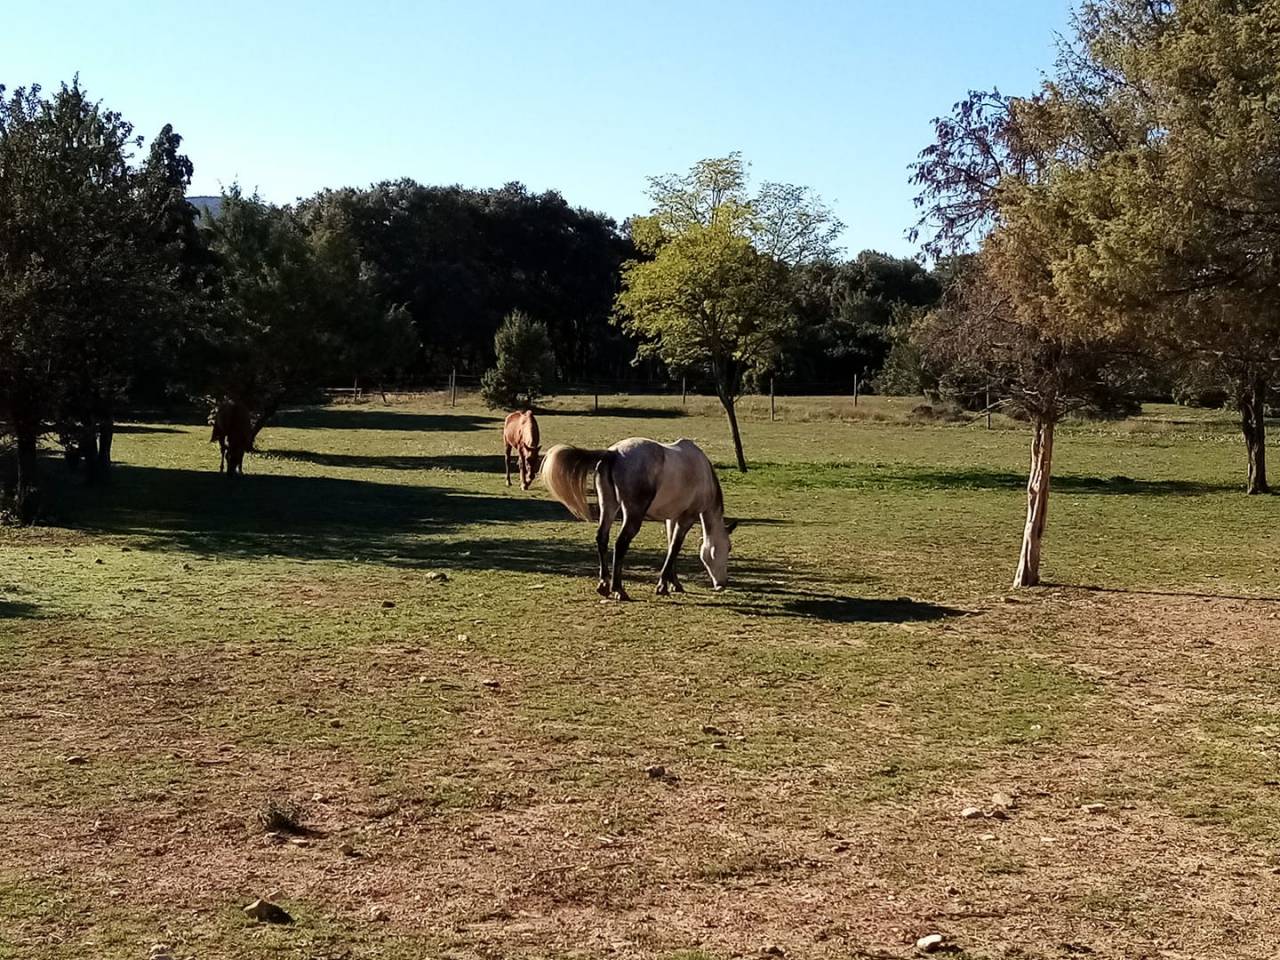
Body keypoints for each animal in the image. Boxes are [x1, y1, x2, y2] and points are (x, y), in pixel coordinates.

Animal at [541, 437, 737, 601]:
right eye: (727, 548)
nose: (722, 584)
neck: (702, 471)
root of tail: (614, 453)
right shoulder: (686, 518)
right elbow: (675, 548)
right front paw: (663, 586)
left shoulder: (671, 518)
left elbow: (671, 547)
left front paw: (674, 583)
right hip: (633, 515)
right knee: (620, 543)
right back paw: (619, 589)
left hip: (608, 506)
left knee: (602, 538)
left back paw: (604, 584)